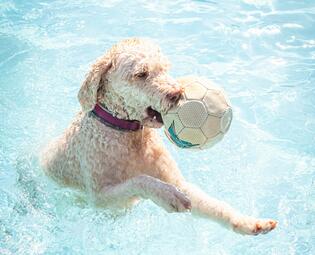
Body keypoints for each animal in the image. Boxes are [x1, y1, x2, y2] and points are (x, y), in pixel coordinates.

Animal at [40, 37, 278, 235]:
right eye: (141, 74)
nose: (178, 94)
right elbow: (141, 180)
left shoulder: (178, 182)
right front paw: (166, 195)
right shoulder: (99, 199)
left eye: (164, 68)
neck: (128, 136)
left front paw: (250, 224)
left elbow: (214, 206)